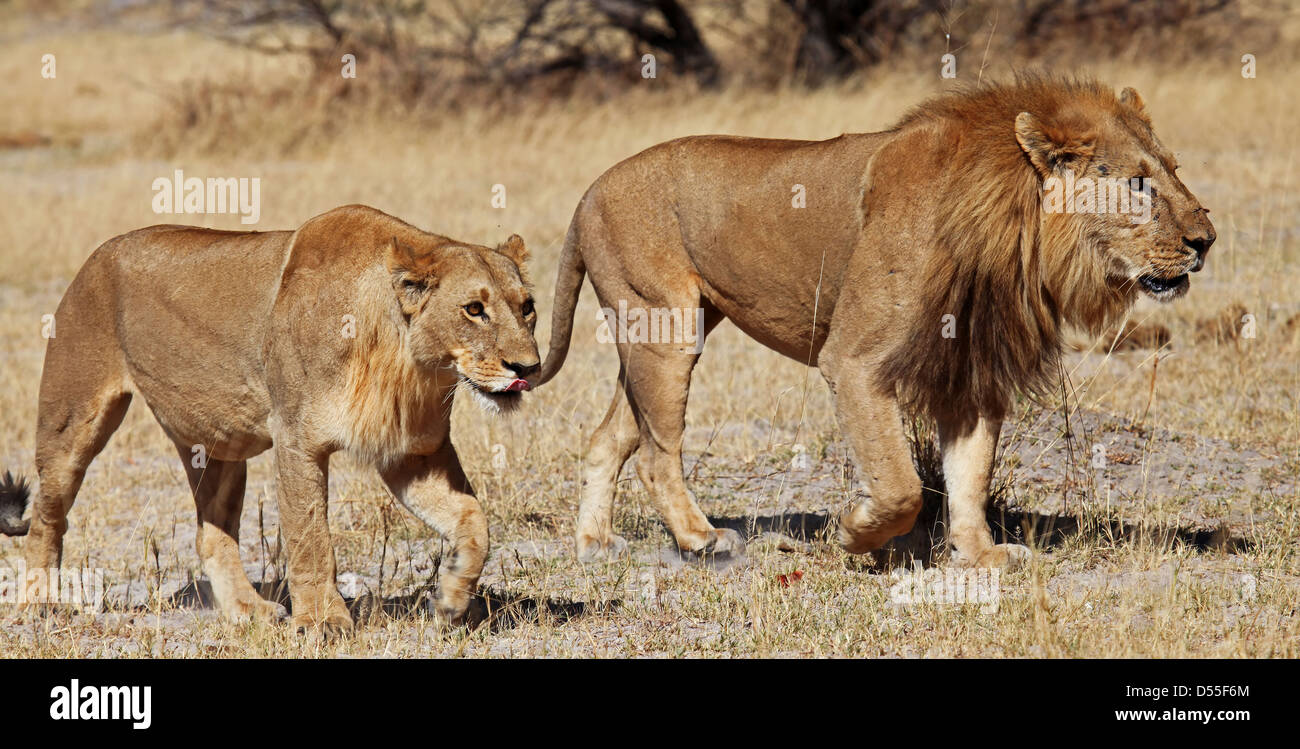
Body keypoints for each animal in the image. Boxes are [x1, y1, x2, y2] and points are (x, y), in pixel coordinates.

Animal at [0, 204, 540, 634]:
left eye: (528, 307)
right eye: (474, 309)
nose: (529, 368)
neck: (408, 362)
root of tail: (95, 256)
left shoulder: (414, 453)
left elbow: (474, 520)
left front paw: (451, 599)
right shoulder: (297, 438)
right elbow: (310, 535)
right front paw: (323, 622)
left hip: (218, 446)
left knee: (210, 534)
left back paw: (249, 611)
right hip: (72, 420)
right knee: (48, 515)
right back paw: (38, 605)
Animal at [537, 75, 1214, 567]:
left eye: (1176, 169)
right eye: (1138, 184)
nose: (1206, 241)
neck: (1011, 228)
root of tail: (589, 191)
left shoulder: (971, 366)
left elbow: (969, 475)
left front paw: (982, 555)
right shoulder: (855, 361)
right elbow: (901, 486)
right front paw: (855, 534)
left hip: (658, 333)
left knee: (609, 439)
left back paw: (595, 545)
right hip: (665, 329)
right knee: (656, 454)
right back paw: (703, 540)